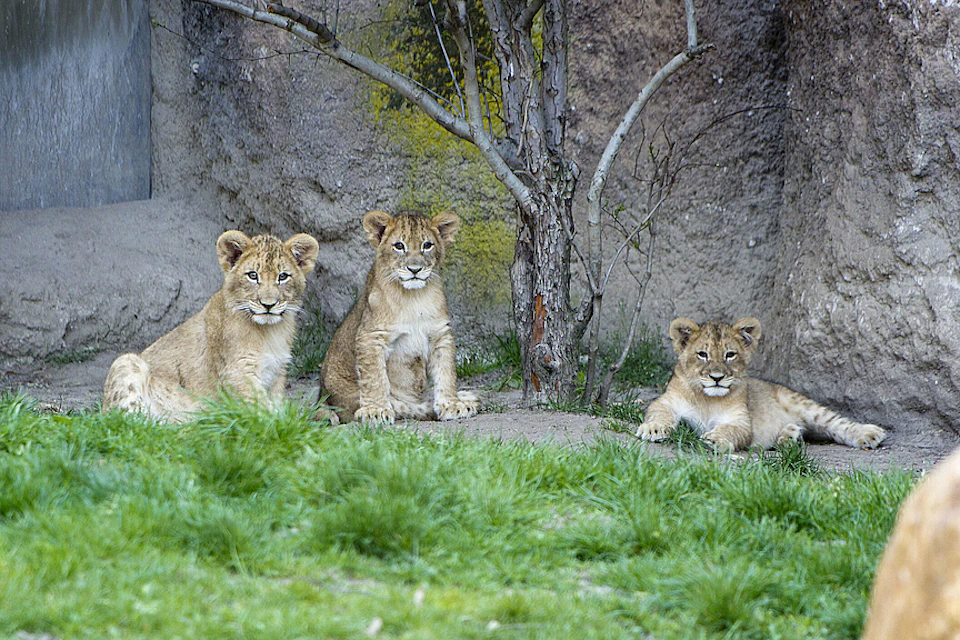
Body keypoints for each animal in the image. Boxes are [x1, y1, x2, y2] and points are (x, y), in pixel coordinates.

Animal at [102, 230, 320, 421]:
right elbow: (263, 409)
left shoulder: (277, 371)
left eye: (283, 276)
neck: (271, 331)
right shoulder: (236, 371)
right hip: (127, 362)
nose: (268, 305)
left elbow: (275, 404)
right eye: (252, 275)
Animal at [320, 210, 479, 424]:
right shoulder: (371, 336)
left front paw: (451, 404)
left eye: (427, 245)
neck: (414, 298)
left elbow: (446, 371)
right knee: (405, 406)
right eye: (399, 246)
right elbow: (375, 378)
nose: (415, 269)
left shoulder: (440, 334)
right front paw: (375, 410)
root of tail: (321, 396)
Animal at [635, 317, 887, 451]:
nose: (717, 377)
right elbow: (659, 412)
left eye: (730, 354)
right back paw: (788, 436)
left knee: (837, 424)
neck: (707, 398)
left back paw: (869, 433)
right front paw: (653, 428)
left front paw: (715, 439)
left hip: (803, 405)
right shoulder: (665, 401)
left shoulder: (741, 421)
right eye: (702, 354)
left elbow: (731, 429)